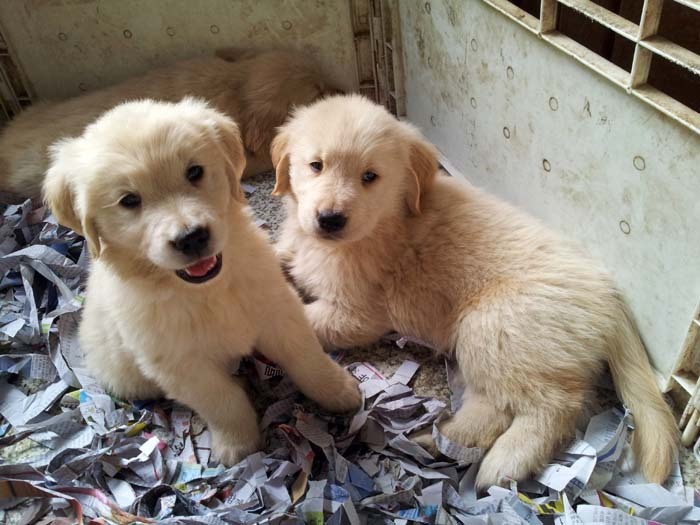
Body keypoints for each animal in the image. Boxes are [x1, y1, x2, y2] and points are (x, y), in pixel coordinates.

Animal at [43, 97, 361, 465]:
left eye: (194, 172)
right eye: (129, 201)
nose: (191, 238)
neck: (207, 291)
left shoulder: (278, 309)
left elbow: (307, 357)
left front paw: (339, 390)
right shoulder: (181, 365)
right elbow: (222, 401)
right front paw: (237, 444)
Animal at [270, 94, 678, 488]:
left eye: (370, 176)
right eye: (316, 165)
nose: (330, 219)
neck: (389, 220)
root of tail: (609, 296)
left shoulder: (358, 312)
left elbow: (300, 319)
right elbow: (275, 258)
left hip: (494, 328)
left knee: (553, 405)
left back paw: (504, 462)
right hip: (492, 348)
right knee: (493, 408)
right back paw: (433, 441)